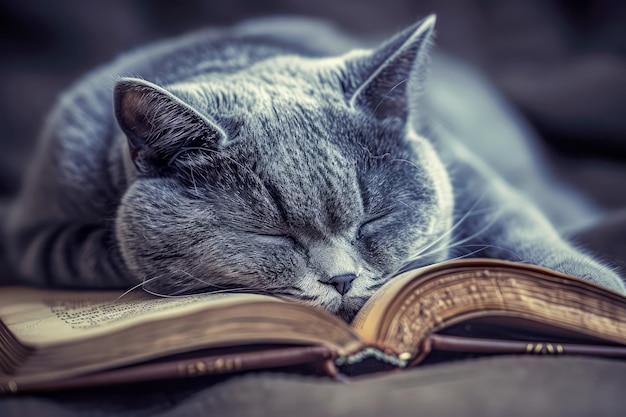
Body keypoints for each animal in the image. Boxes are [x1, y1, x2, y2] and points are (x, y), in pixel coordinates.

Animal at [3, 14, 620, 320]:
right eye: (272, 237)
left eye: (373, 221)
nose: (342, 279)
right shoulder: (36, 235)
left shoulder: (461, 168)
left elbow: (515, 222)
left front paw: (592, 299)